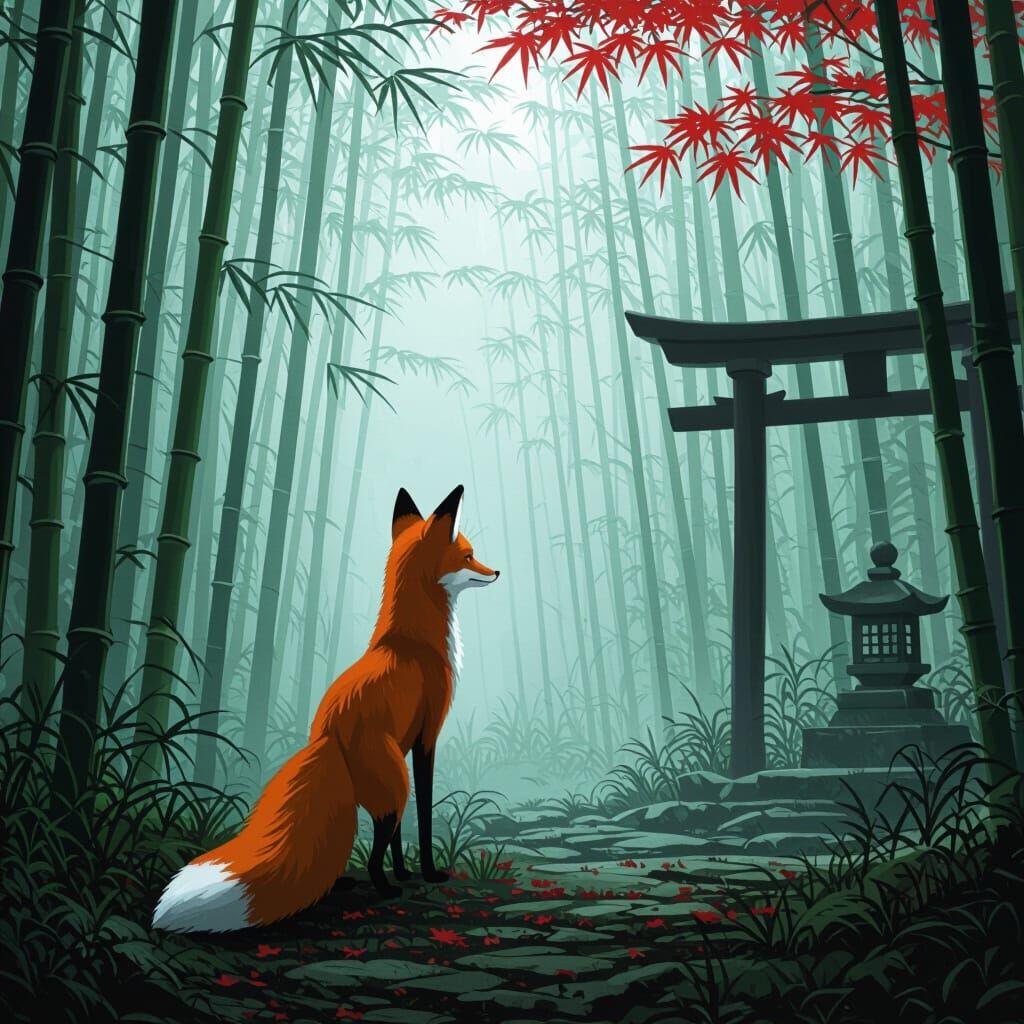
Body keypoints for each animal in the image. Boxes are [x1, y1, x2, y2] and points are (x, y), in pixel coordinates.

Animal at [152, 484, 499, 932]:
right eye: (469, 555)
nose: (496, 572)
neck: (413, 640)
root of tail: (326, 734)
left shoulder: (407, 744)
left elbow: (402, 837)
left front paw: (406, 872)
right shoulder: (425, 740)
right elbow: (423, 818)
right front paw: (426, 873)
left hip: (391, 781)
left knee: (379, 836)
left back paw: (354, 883)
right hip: (394, 783)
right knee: (377, 847)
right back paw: (384, 889)